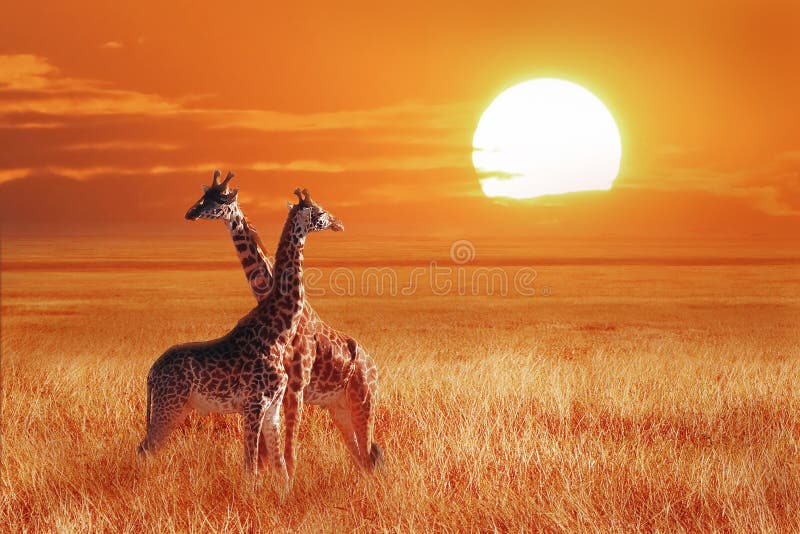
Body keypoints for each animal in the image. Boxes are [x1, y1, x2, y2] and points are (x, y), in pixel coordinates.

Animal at [137, 188, 340, 490]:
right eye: (321, 212)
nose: (338, 223)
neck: (278, 332)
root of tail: (151, 373)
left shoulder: (272, 408)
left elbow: (279, 466)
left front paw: (285, 492)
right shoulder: (254, 405)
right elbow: (251, 466)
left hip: (177, 407)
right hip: (169, 405)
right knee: (146, 448)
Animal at [185, 170, 384, 480]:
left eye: (220, 199)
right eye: (204, 196)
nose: (190, 213)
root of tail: (373, 364)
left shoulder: (295, 387)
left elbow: (287, 453)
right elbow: (268, 454)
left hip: (363, 400)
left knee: (369, 452)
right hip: (338, 407)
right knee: (363, 455)